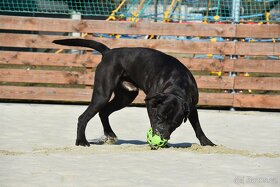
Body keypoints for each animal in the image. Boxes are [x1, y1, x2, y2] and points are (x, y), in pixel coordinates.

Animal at [53, 38, 214, 147]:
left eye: (175, 123)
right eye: (160, 116)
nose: (161, 133)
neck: (178, 84)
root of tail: (108, 52)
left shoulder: (192, 107)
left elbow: (198, 127)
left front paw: (207, 142)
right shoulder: (151, 103)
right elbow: (152, 120)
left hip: (126, 96)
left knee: (104, 112)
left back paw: (110, 134)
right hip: (103, 94)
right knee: (84, 117)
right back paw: (81, 141)